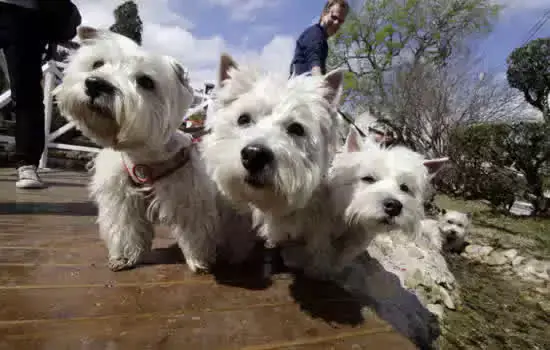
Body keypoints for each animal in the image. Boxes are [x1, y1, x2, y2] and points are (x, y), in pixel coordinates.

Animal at [55, 26, 256, 274]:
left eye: (146, 81)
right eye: (97, 64)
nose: (95, 84)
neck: (143, 156)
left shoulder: (189, 198)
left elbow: (195, 232)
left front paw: (199, 260)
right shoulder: (122, 200)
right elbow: (125, 228)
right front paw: (124, 257)